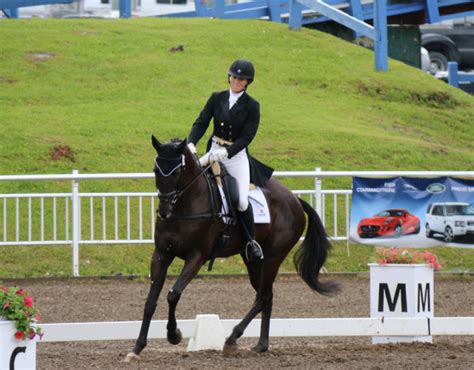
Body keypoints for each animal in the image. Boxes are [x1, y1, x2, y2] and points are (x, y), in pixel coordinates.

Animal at [124, 136, 336, 362]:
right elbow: (150, 302)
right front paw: (137, 348)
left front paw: (174, 335)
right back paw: (261, 344)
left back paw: (233, 339)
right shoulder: (161, 254)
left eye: (177, 172)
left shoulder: (197, 257)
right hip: (253, 260)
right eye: (156, 169)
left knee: (262, 296)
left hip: (273, 257)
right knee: (266, 295)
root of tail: (295, 199)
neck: (186, 205)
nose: (164, 212)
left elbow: (173, 294)